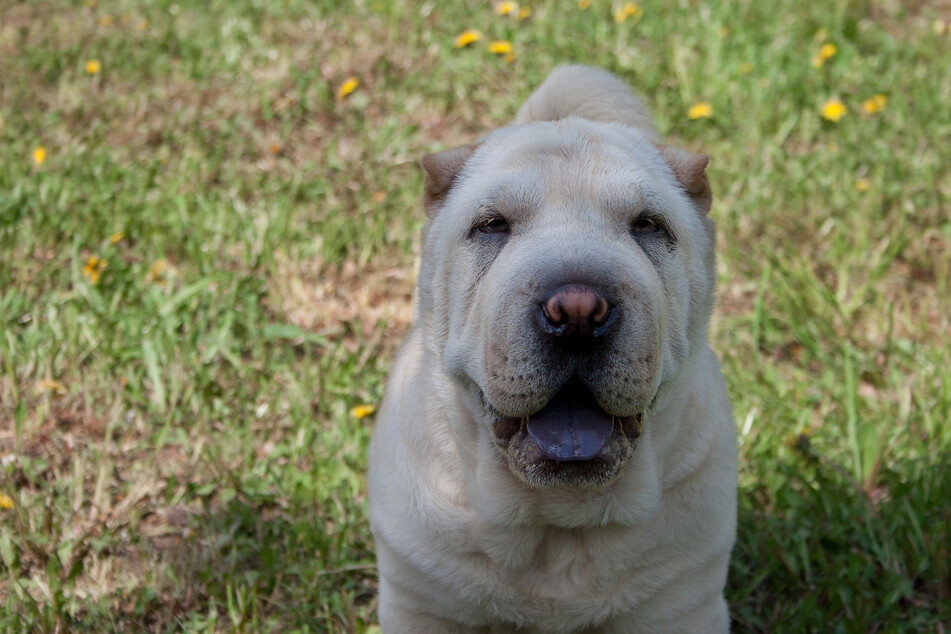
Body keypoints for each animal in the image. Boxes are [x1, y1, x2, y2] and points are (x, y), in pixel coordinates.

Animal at [368, 65, 740, 632]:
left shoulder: (683, 605)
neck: (557, 530)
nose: (579, 313)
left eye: (648, 225)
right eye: (492, 225)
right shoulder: (421, 602)